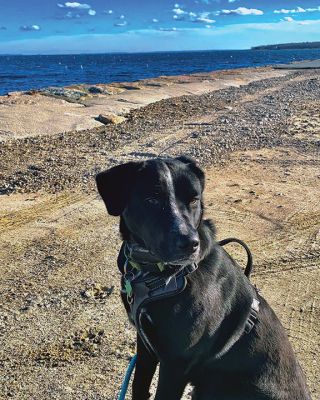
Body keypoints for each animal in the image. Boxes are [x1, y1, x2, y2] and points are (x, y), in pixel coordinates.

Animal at [95, 156, 310, 400]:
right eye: (151, 199)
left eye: (194, 199)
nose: (190, 244)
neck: (161, 273)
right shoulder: (146, 347)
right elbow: (138, 385)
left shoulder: (176, 364)